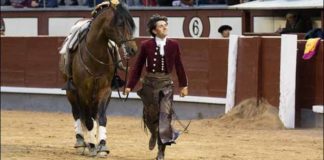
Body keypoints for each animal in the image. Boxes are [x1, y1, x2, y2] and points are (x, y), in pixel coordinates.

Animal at [58, 0, 137, 157]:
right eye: (120, 23)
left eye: (131, 24)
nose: (133, 49)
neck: (95, 57)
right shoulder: (82, 91)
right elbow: (87, 120)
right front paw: (92, 145)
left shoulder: (105, 90)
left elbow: (101, 118)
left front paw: (102, 145)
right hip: (71, 92)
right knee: (77, 113)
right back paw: (82, 143)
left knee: (94, 115)